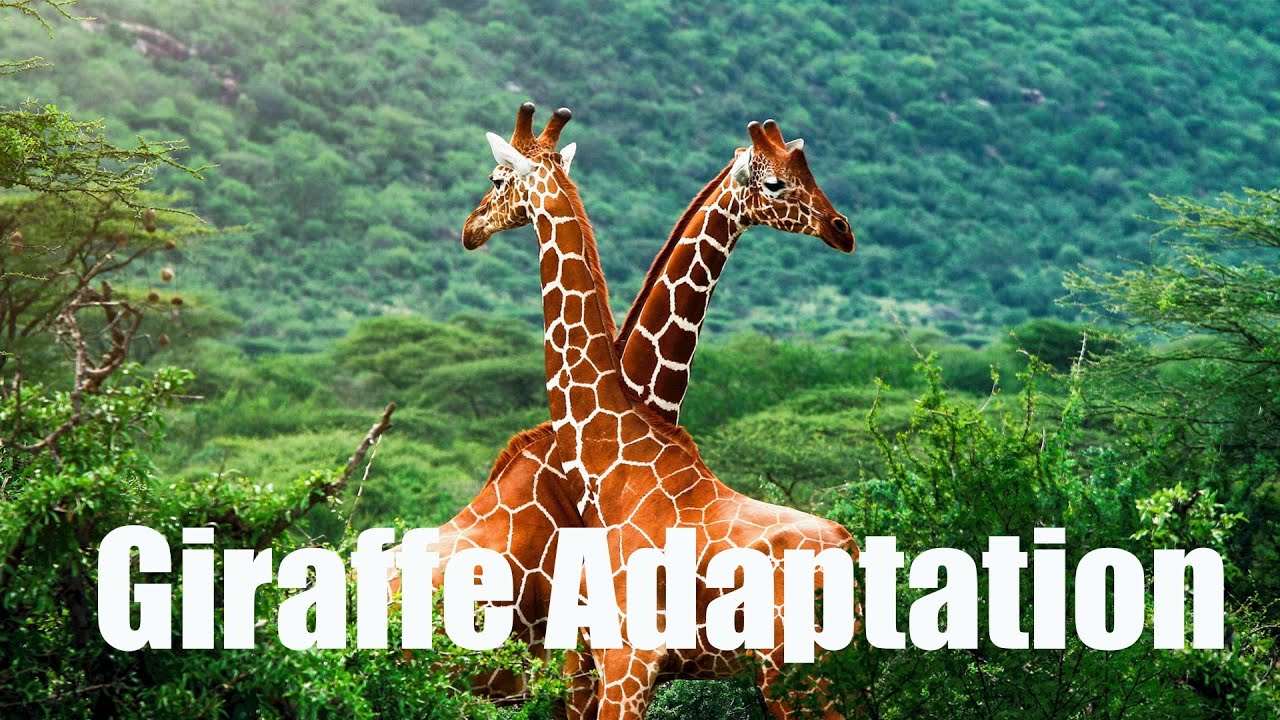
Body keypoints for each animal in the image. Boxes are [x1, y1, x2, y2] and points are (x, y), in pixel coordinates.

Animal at [459, 103, 859, 720]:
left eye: (497, 179)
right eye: (777, 181)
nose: (470, 228)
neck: (611, 461)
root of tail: (854, 552)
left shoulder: (625, 660)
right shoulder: (594, 664)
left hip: (794, 672)